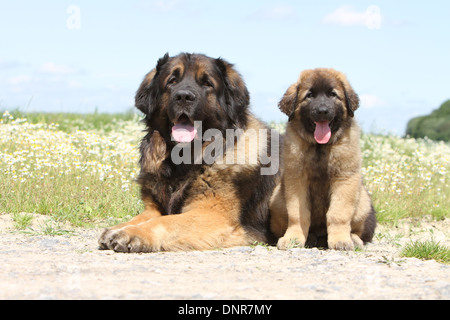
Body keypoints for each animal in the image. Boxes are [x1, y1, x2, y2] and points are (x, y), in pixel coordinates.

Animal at [99, 52, 278, 252]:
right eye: (172, 81)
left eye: (207, 83)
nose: (184, 96)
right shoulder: (153, 208)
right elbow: (141, 218)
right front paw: (119, 228)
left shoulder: (212, 215)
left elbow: (165, 222)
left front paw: (130, 233)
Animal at [270, 69, 376, 251]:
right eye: (309, 95)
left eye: (333, 94)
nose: (322, 111)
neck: (320, 147)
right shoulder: (296, 180)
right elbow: (298, 215)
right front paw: (293, 238)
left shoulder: (345, 179)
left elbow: (338, 214)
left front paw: (341, 240)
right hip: (277, 199)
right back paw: (310, 238)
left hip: (363, 200)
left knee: (356, 227)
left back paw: (353, 238)